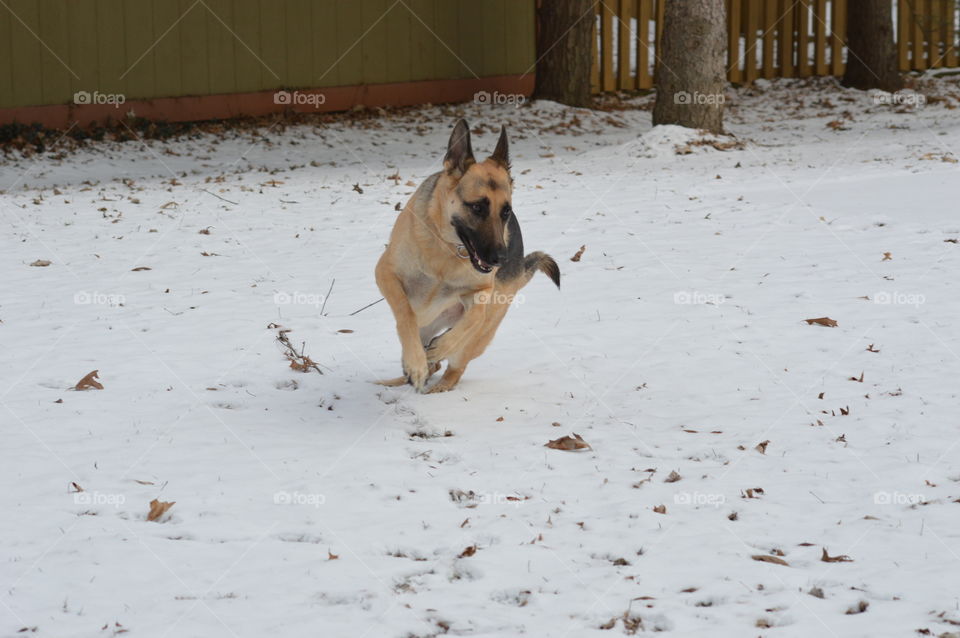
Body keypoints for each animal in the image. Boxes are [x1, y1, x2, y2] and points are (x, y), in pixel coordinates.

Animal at [374, 117, 560, 392]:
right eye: (477, 207)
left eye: (506, 211)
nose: (501, 259)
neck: (447, 249)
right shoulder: (386, 273)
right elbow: (405, 314)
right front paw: (416, 364)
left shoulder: (482, 292)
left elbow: (474, 317)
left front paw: (441, 347)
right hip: (425, 325)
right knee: (425, 355)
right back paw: (407, 373)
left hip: (480, 334)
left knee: (454, 367)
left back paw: (437, 385)